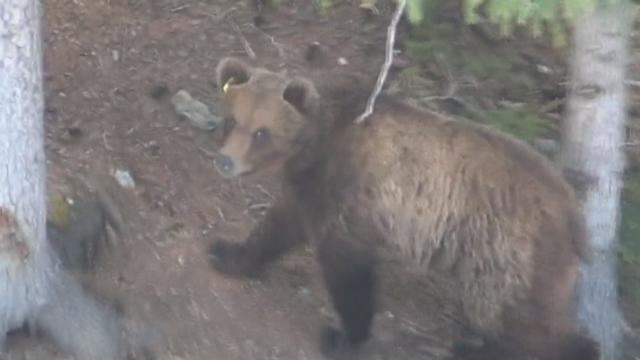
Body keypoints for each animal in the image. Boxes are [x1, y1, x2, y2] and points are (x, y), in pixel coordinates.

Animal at [209, 57, 600, 360]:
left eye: (262, 132)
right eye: (233, 120)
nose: (225, 161)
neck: (317, 145)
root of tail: (573, 214)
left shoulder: (353, 196)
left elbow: (349, 272)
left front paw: (343, 338)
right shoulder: (309, 189)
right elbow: (278, 227)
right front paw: (229, 254)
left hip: (508, 255)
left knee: (522, 321)